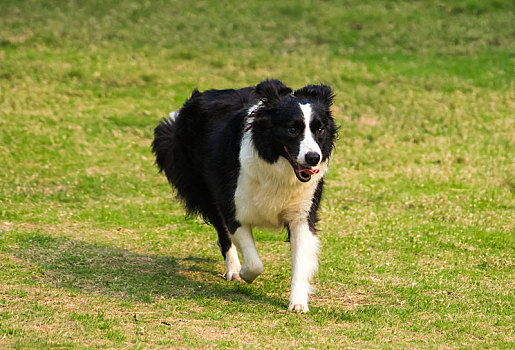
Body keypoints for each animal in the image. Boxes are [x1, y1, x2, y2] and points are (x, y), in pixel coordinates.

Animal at [152, 79, 338, 312]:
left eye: (319, 129)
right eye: (292, 129)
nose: (313, 158)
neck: (277, 166)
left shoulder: (302, 213)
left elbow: (301, 259)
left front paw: (298, 302)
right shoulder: (233, 208)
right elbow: (255, 262)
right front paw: (243, 274)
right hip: (203, 189)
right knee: (222, 233)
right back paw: (233, 269)